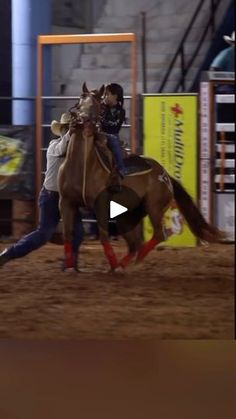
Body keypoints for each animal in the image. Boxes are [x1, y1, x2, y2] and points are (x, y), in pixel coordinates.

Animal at [58, 83, 226, 272]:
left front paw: (112, 265)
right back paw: (123, 264)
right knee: (134, 244)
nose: (84, 122)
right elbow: (67, 234)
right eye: (81, 100)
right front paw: (70, 267)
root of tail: (165, 176)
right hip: (126, 217)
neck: (84, 165)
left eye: (98, 105)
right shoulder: (65, 202)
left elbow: (103, 236)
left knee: (158, 235)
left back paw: (134, 262)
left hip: (154, 208)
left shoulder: (100, 205)